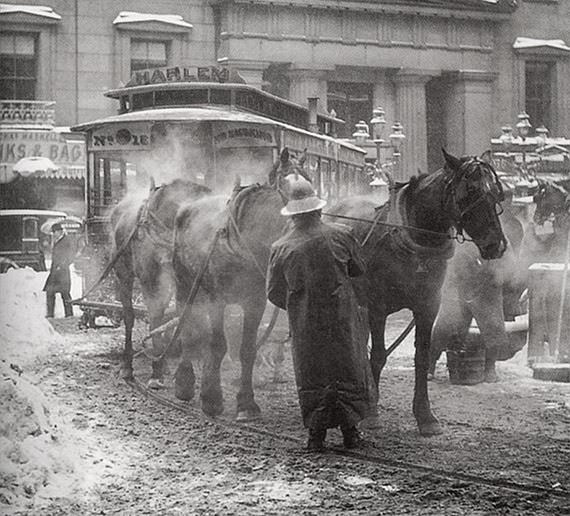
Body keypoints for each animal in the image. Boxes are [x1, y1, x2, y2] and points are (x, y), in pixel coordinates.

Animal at [110, 179, 210, 384]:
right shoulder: (150, 280)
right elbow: (155, 317)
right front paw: (155, 373)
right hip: (123, 273)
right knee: (129, 315)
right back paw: (127, 365)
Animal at [170, 148, 302, 420]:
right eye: (288, 186)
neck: (243, 238)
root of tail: (188, 206)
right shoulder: (217, 300)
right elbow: (218, 344)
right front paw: (211, 399)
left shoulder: (254, 302)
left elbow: (247, 349)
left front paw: (246, 403)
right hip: (184, 284)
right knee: (187, 328)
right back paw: (185, 383)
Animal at [328, 149, 506, 436]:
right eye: (469, 192)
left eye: (496, 193)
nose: (496, 245)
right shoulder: (377, 306)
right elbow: (378, 355)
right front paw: (372, 412)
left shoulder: (427, 307)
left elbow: (422, 357)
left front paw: (425, 415)